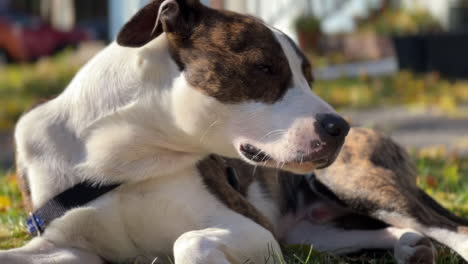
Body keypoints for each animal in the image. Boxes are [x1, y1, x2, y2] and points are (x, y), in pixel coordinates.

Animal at [1, 0, 466, 264]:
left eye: (309, 77)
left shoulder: (253, 230)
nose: (339, 127)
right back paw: (411, 246)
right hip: (312, 232)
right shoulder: (63, 248)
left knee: (451, 228)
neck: (120, 154)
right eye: (264, 67)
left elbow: (188, 243)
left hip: (353, 182)